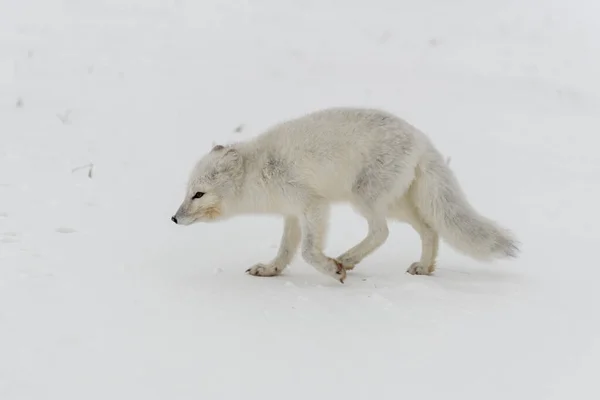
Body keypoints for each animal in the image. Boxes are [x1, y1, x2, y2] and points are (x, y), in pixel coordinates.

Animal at [171, 108, 516, 282]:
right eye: (187, 192)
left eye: (198, 194)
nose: (174, 218)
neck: (260, 170)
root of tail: (421, 139)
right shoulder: (292, 212)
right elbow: (286, 249)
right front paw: (271, 270)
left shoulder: (313, 204)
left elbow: (308, 251)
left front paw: (330, 269)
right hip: (398, 205)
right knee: (429, 229)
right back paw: (423, 267)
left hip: (364, 198)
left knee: (381, 232)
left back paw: (346, 260)